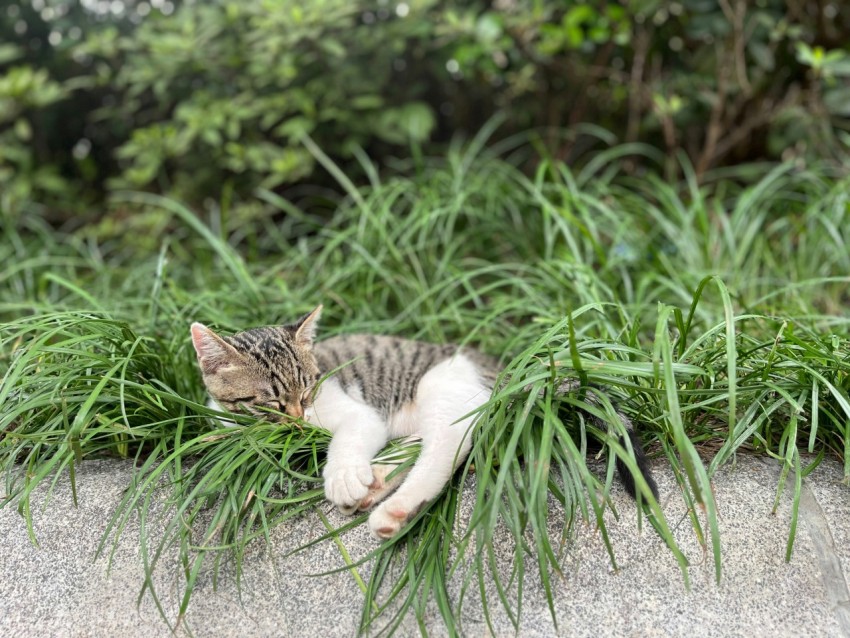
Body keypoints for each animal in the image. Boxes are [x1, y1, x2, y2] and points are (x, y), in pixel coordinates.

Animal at [190, 304, 656, 540]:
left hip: (442, 386)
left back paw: (394, 508)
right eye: (270, 403)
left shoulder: (357, 410)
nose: (299, 421)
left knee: (451, 444)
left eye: (307, 390)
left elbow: (350, 436)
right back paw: (380, 479)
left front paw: (343, 476)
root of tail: (513, 372)